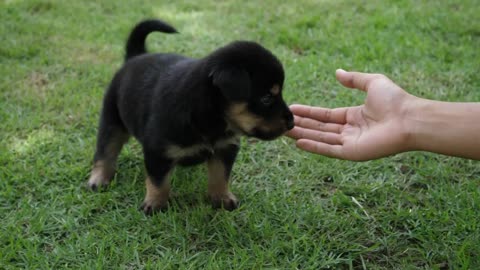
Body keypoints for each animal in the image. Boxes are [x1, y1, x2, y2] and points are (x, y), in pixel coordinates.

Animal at [87, 19, 294, 214]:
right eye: (266, 98)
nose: (292, 122)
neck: (212, 119)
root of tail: (136, 56)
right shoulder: (157, 151)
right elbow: (158, 181)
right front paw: (155, 205)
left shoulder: (225, 147)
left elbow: (220, 176)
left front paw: (222, 198)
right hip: (112, 118)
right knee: (106, 149)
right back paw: (99, 179)